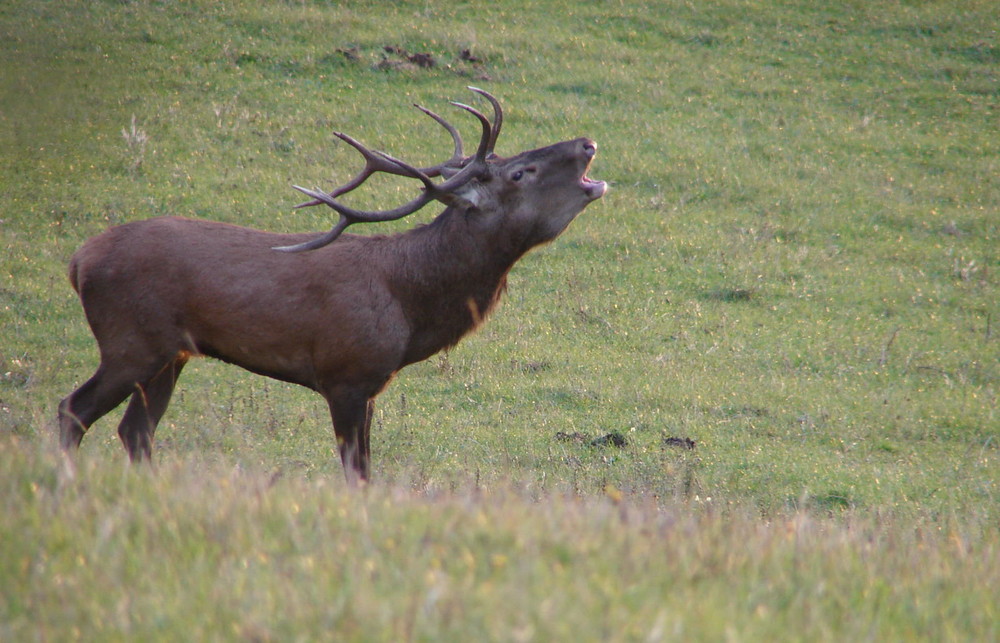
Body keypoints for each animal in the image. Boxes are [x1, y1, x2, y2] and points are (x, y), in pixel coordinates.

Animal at [58, 89, 604, 484]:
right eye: (520, 172)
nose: (587, 143)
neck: (410, 306)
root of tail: (78, 261)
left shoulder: (371, 385)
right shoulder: (344, 374)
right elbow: (356, 472)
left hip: (170, 354)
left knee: (136, 431)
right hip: (130, 342)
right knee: (73, 411)